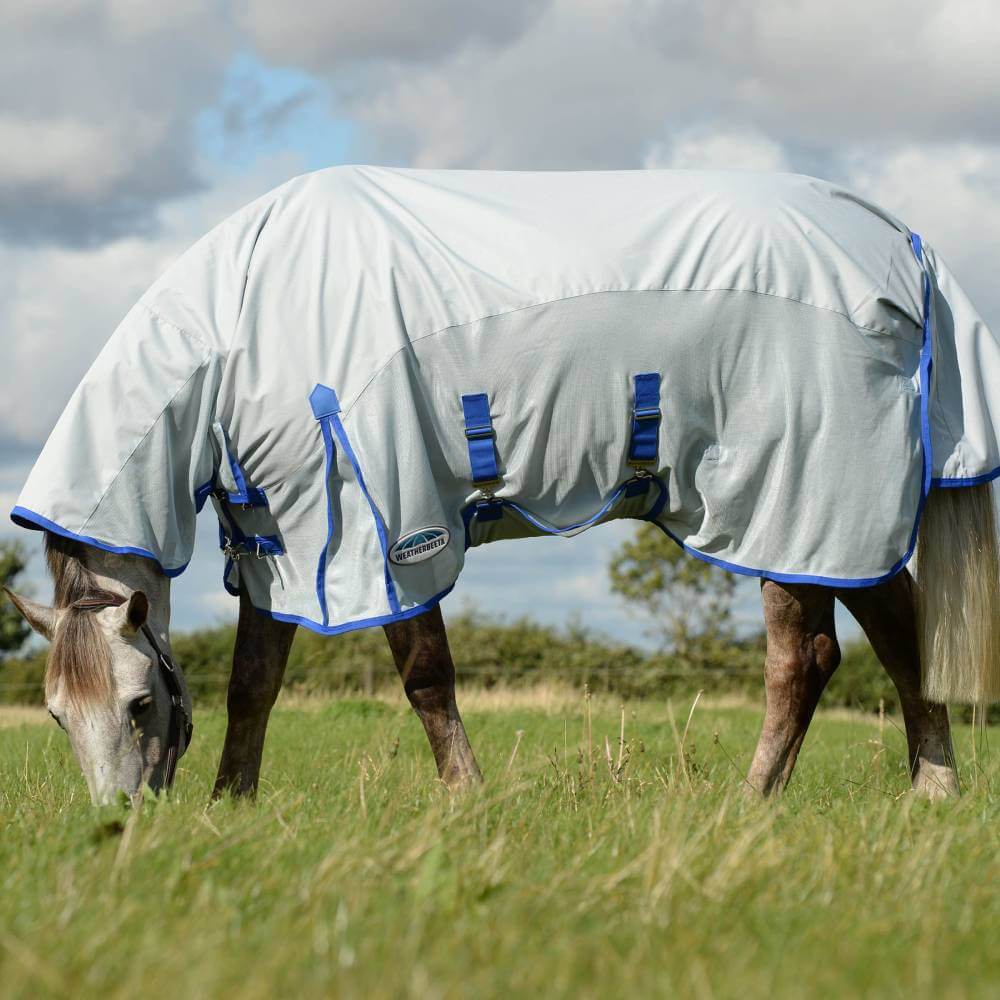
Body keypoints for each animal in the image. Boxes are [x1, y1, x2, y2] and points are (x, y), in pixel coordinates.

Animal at [6, 166, 999, 804]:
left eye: (139, 703)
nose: (120, 824)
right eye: (55, 715)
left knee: (805, 661)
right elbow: (253, 684)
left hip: (789, 504)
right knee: (899, 639)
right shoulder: (278, 542)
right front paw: (232, 805)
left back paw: (750, 804)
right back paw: (932, 792)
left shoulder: (393, 524)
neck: (245, 321)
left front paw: (465, 801)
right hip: (831, 520)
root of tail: (900, 244)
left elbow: (426, 679)